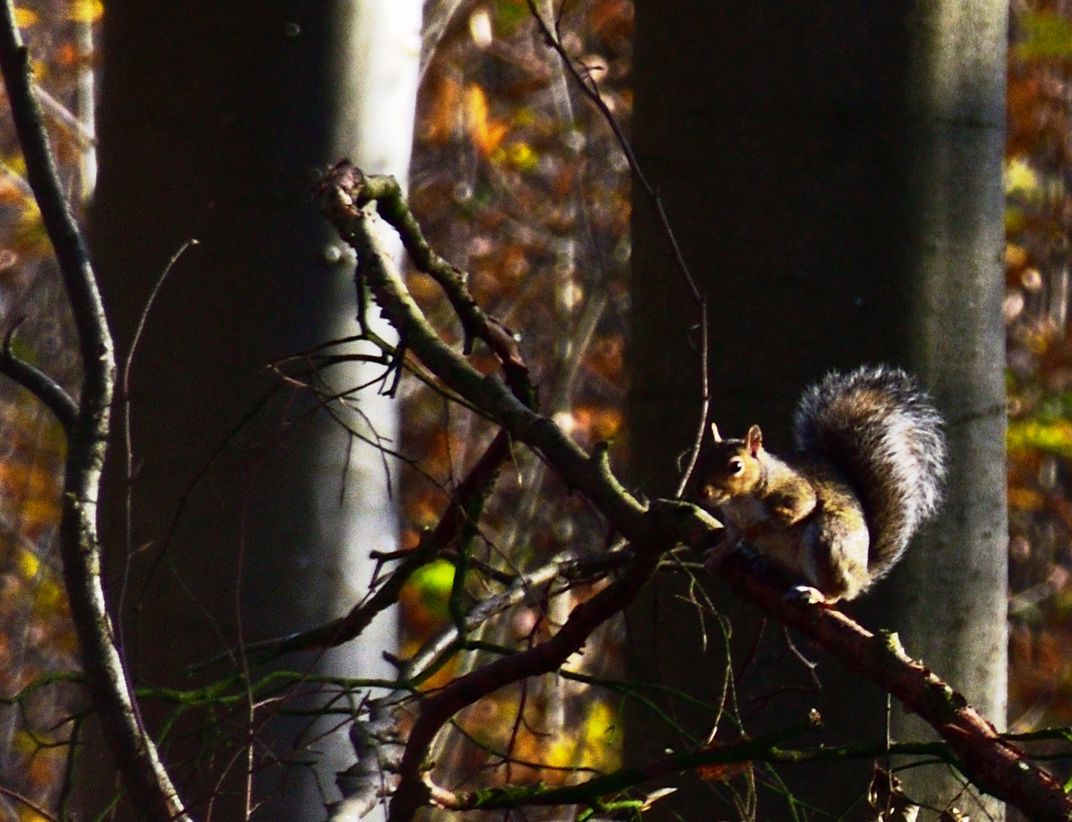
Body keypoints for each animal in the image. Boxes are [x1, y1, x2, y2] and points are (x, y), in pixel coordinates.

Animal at [694, 365, 946, 602]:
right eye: (703, 457)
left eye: (736, 466)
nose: (702, 493)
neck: (740, 501)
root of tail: (861, 576)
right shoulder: (733, 520)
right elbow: (732, 538)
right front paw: (719, 553)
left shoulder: (791, 491)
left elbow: (798, 508)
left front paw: (754, 530)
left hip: (827, 542)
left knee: (836, 593)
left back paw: (817, 593)